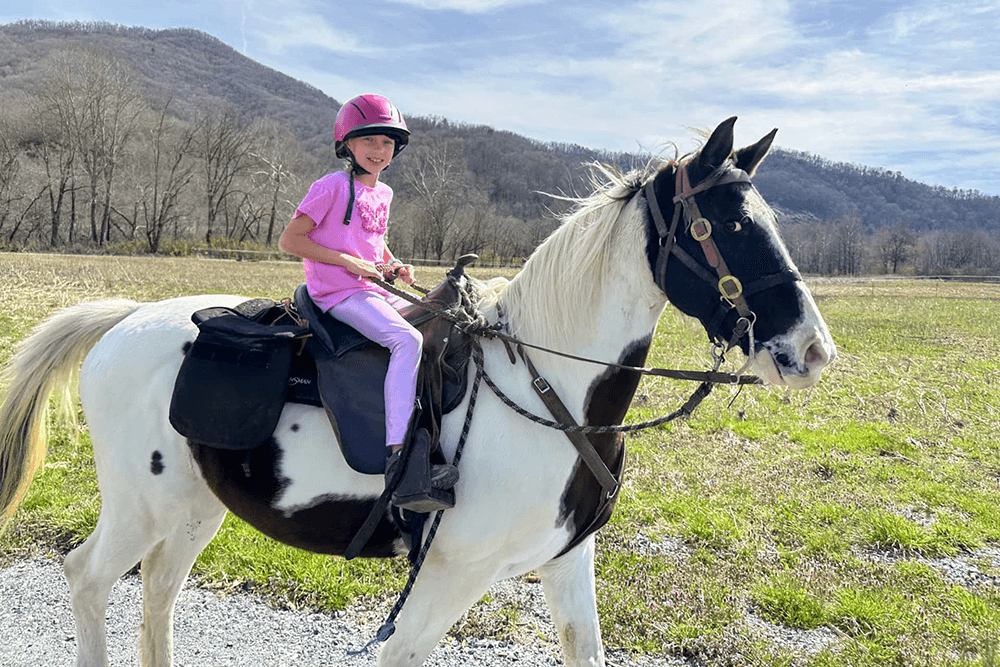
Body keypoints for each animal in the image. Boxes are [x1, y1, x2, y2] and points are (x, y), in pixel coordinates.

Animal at [0, 117, 835, 667]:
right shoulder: (450, 574)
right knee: (89, 578)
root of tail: (124, 319)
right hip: (143, 506)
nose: (811, 350)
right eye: (726, 225)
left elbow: (585, 648)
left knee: (158, 592)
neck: (552, 392)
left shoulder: (568, 561)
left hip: (195, 504)